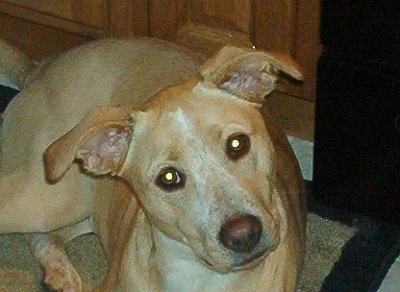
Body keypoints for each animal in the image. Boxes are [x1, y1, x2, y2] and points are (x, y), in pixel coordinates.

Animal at [0, 37, 304, 290]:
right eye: (168, 178)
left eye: (238, 143)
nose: (243, 235)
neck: (202, 278)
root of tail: (40, 69)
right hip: (49, 199)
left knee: (41, 237)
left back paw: (60, 273)